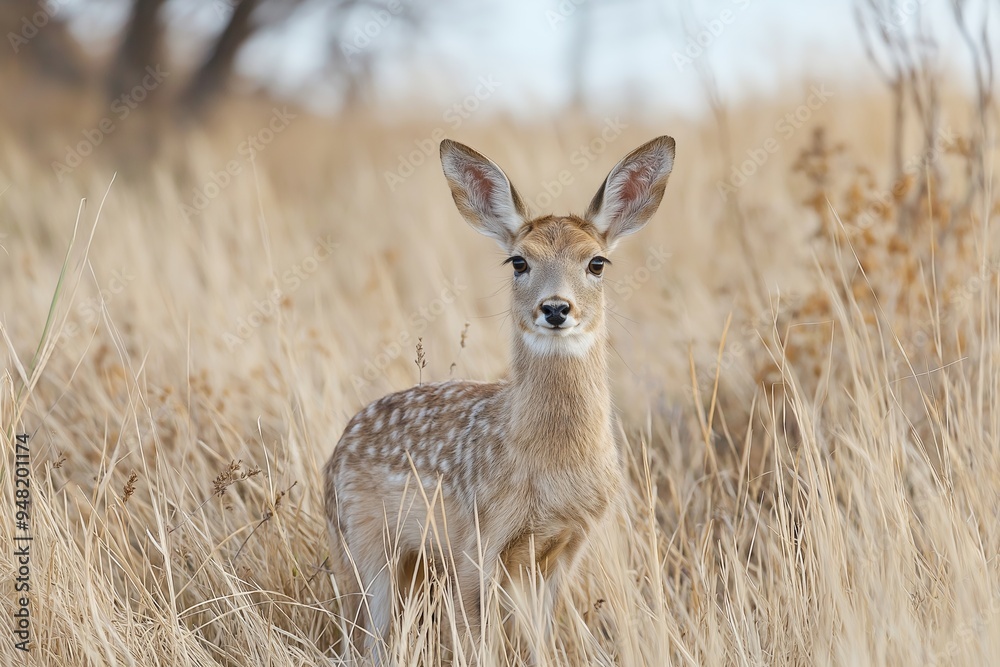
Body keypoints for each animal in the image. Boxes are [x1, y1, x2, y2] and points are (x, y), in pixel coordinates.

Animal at [324, 134, 675, 662]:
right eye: (518, 262)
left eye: (597, 262)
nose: (555, 308)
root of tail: (333, 459)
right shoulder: (480, 539)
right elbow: (477, 636)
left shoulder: (568, 543)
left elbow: (538, 635)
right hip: (364, 547)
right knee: (369, 639)